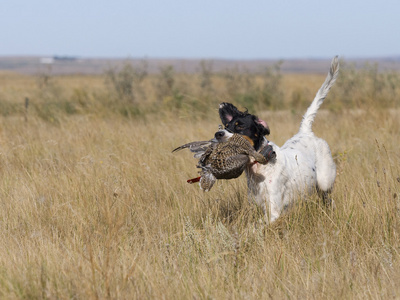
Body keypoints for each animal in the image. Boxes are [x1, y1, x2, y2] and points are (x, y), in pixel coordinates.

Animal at [217, 56, 340, 221]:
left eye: (240, 126)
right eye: (226, 126)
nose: (218, 134)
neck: (260, 167)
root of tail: (306, 132)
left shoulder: (274, 212)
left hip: (325, 182)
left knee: (330, 200)